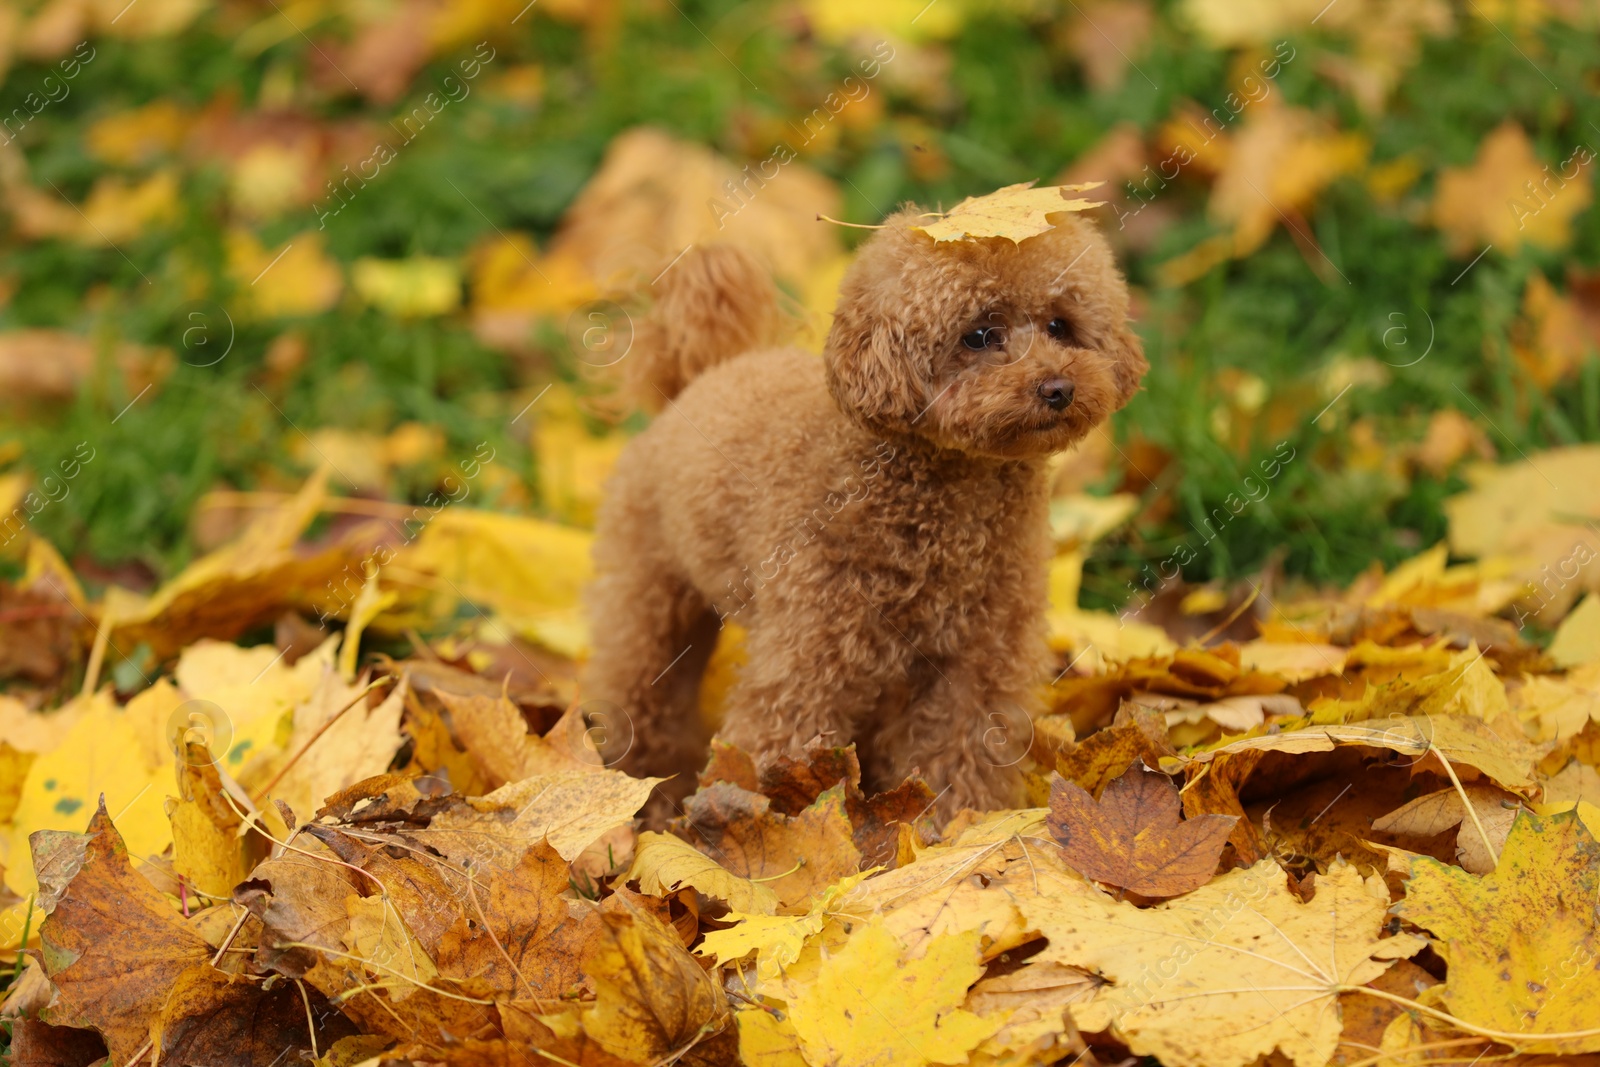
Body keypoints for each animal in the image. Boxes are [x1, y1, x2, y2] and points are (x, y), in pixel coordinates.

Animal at [582, 204, 1145, 819]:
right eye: (978, 336)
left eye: (1060, 326)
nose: (1058, 388)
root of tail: (700, 379)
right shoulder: (811, 649)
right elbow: (780, 740)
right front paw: (764, 829)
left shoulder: (978, 658)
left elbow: (960, 749)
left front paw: (954, 826)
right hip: (648, 592)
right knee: (642, 690)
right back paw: (643, 793)